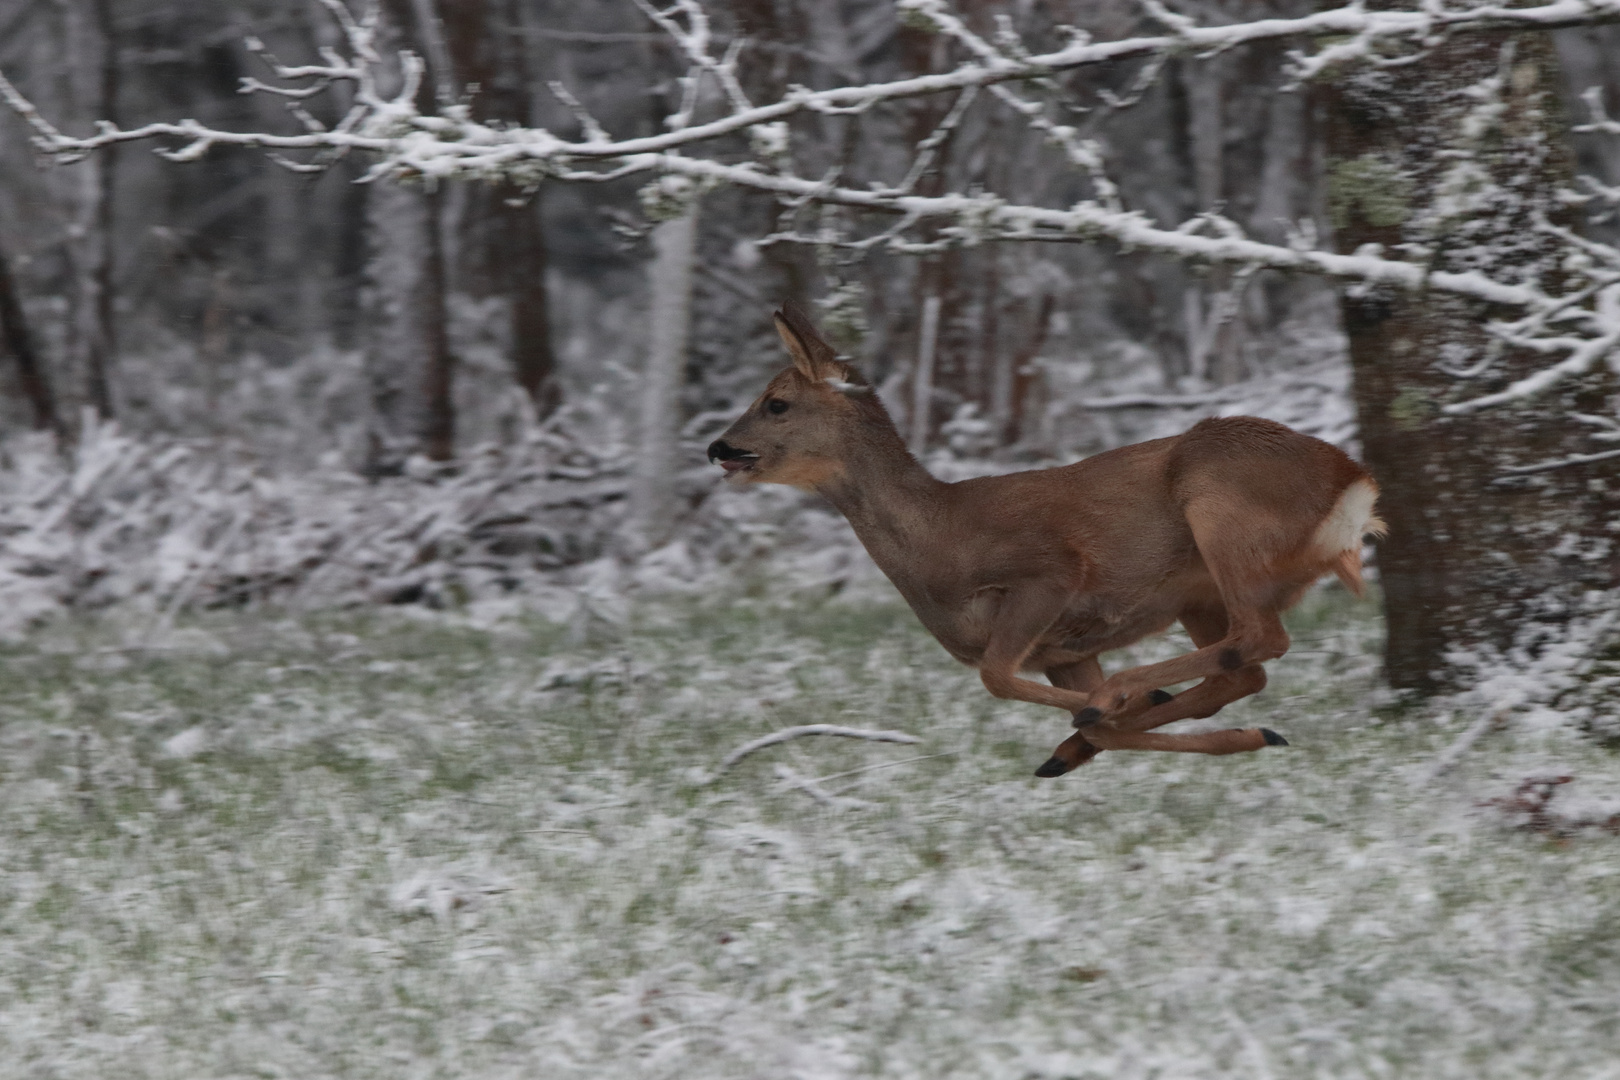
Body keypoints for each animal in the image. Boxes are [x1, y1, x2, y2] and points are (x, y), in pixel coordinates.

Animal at [703, 304, 1386, 777]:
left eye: (776, 403)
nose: (717, 446)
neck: (940, 540)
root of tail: (1356, 485)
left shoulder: (1049, 572)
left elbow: (995, 677)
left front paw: (1106, 711)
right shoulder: (1064, 648)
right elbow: (1088, 713)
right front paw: (1091, 735)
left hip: (1219, 507)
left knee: (1260, 638)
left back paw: (1117, 698)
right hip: (1200, 592)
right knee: (1244, 669)